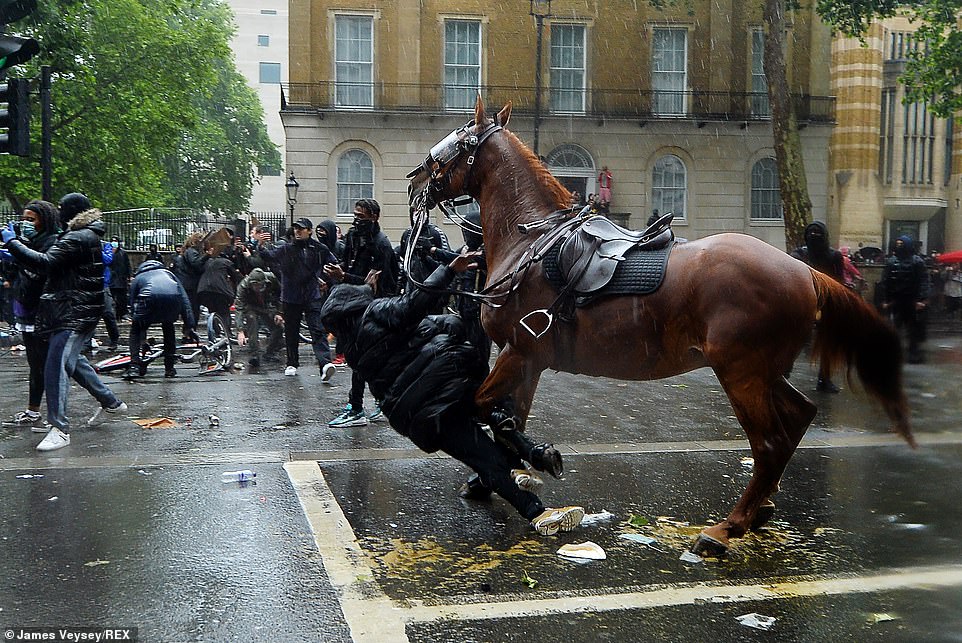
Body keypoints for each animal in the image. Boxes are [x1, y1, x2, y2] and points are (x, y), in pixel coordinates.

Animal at [407, 96, 915, 557]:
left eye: (452, 143)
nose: (414, 183)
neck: (531, 241)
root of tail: (804, 270)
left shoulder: (517, 353)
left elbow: (480, 408)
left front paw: (523, 461)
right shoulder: (527, 360)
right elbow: (508, 418)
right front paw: (502, 471)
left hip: (741, 373)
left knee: (770, 442)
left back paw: (727, 528)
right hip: (765, 372)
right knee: (798, 418)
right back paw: (761, 507)